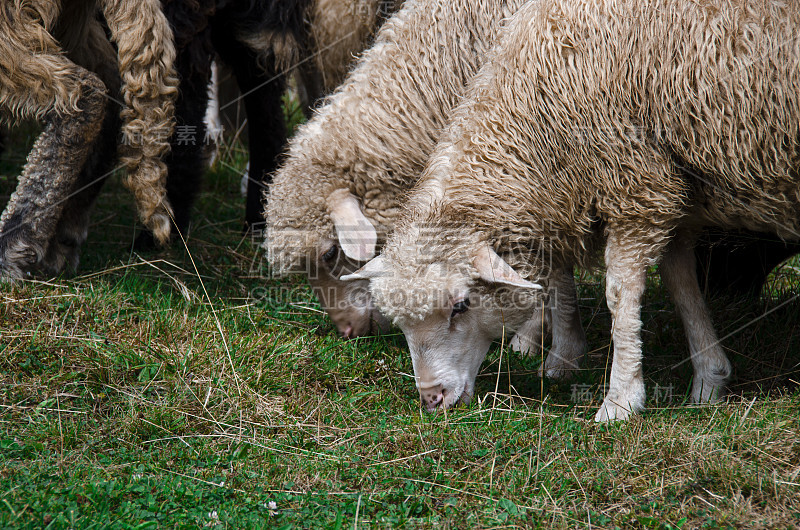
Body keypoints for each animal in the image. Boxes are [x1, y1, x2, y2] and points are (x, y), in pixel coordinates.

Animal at [348, 0, 800, 420]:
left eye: (461, 305)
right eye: (401, 323)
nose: (432, 399)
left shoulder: (637, 187)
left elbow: (621, 295)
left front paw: (621, 400)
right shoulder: (669, 187)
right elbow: (680, 282)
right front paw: (710, 377)